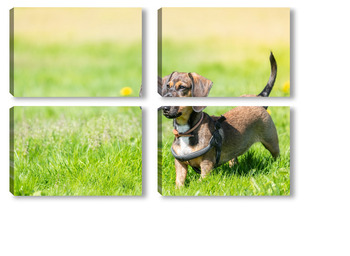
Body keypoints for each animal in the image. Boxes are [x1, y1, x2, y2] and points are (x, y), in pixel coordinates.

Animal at [161, 53, 278, 187]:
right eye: (167, 86)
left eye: (182, 87)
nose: (164, 108)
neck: (187, 131)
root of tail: (260, 99)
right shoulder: (180, 164)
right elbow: (179, 181)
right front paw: (178, 189)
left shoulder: (206, 164)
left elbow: (201, 180)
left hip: (271, 141)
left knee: (276, 155)